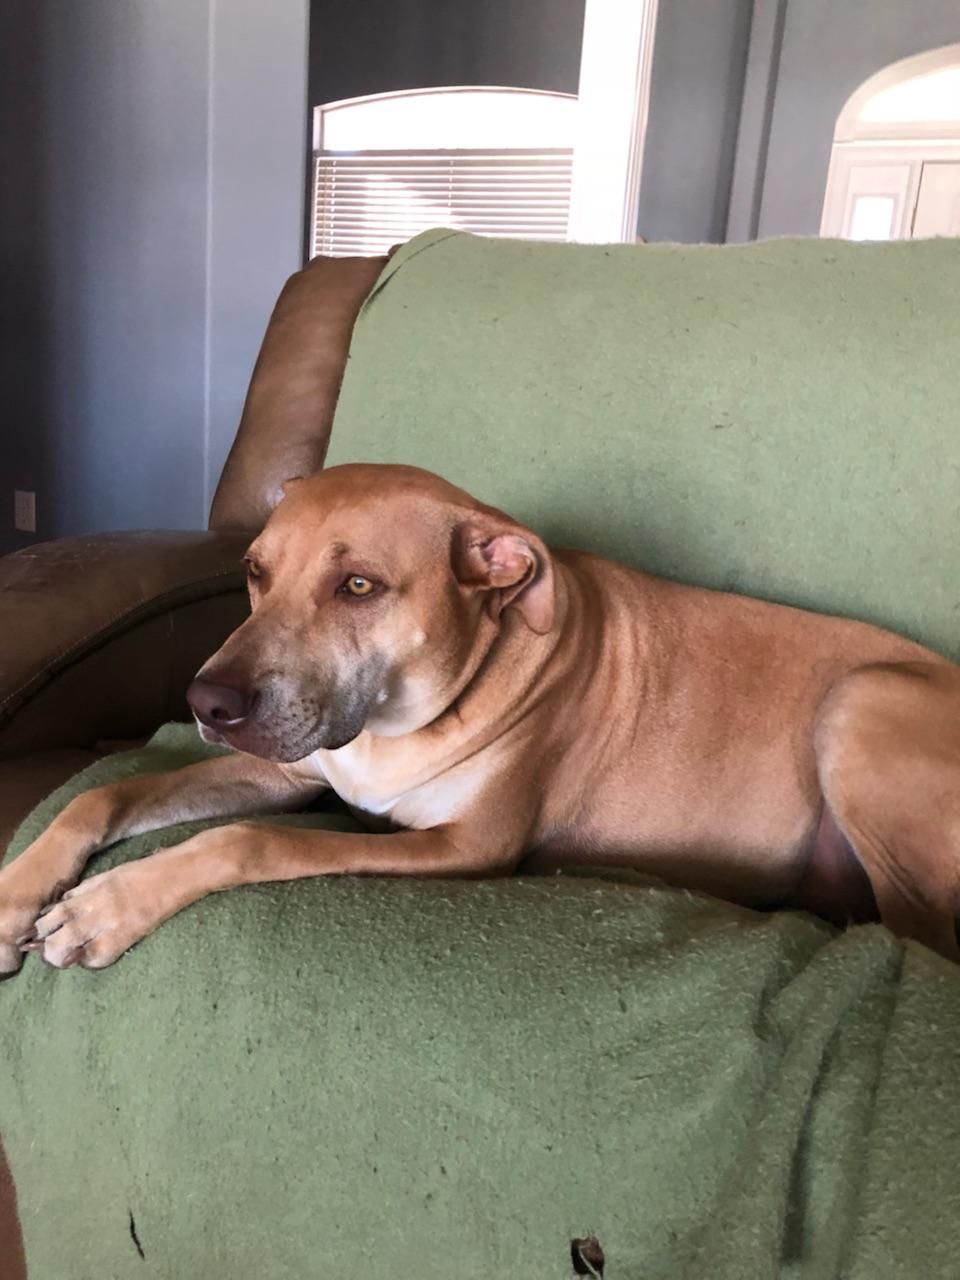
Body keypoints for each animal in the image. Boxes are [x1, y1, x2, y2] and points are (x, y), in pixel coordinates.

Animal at [1, 462, 958, 975]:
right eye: (253, 571)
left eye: (358, 586)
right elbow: (100, 797)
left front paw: (108, 905)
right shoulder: (284, 767)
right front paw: (18, 892)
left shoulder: (464, 846)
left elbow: (250, 841)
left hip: (860, 701)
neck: (405, 717)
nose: (207, 703)